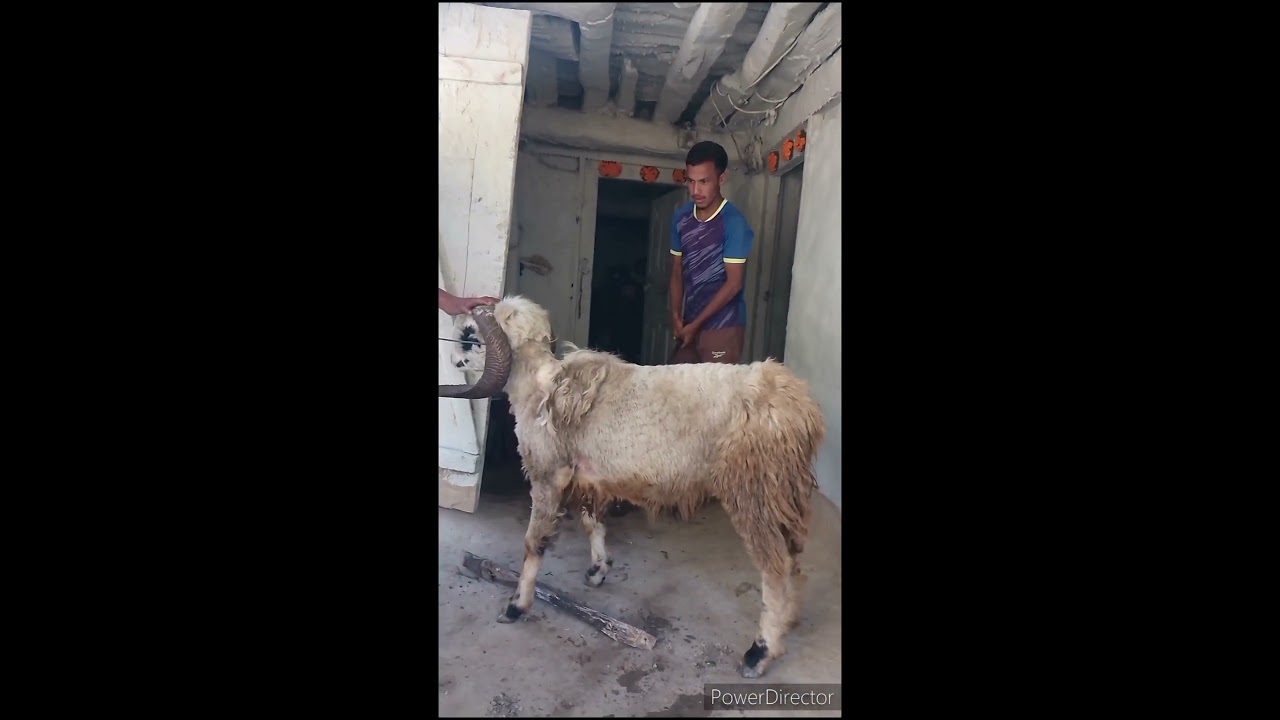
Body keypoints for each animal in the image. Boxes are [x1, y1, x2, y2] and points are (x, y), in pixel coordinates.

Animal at [447, 295, 826, 678]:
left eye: (470, 335)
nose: (451, 359)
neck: (539, 386)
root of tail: (798, 405)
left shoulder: (548, 473)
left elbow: (533, 543)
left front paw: (516, 606)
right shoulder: (589, 474)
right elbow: (592, 523)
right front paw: (598, 570)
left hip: (753, 490)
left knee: (776, 569)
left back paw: (759, 653)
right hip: (785, 489)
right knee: (793, 557)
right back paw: (789, 620)